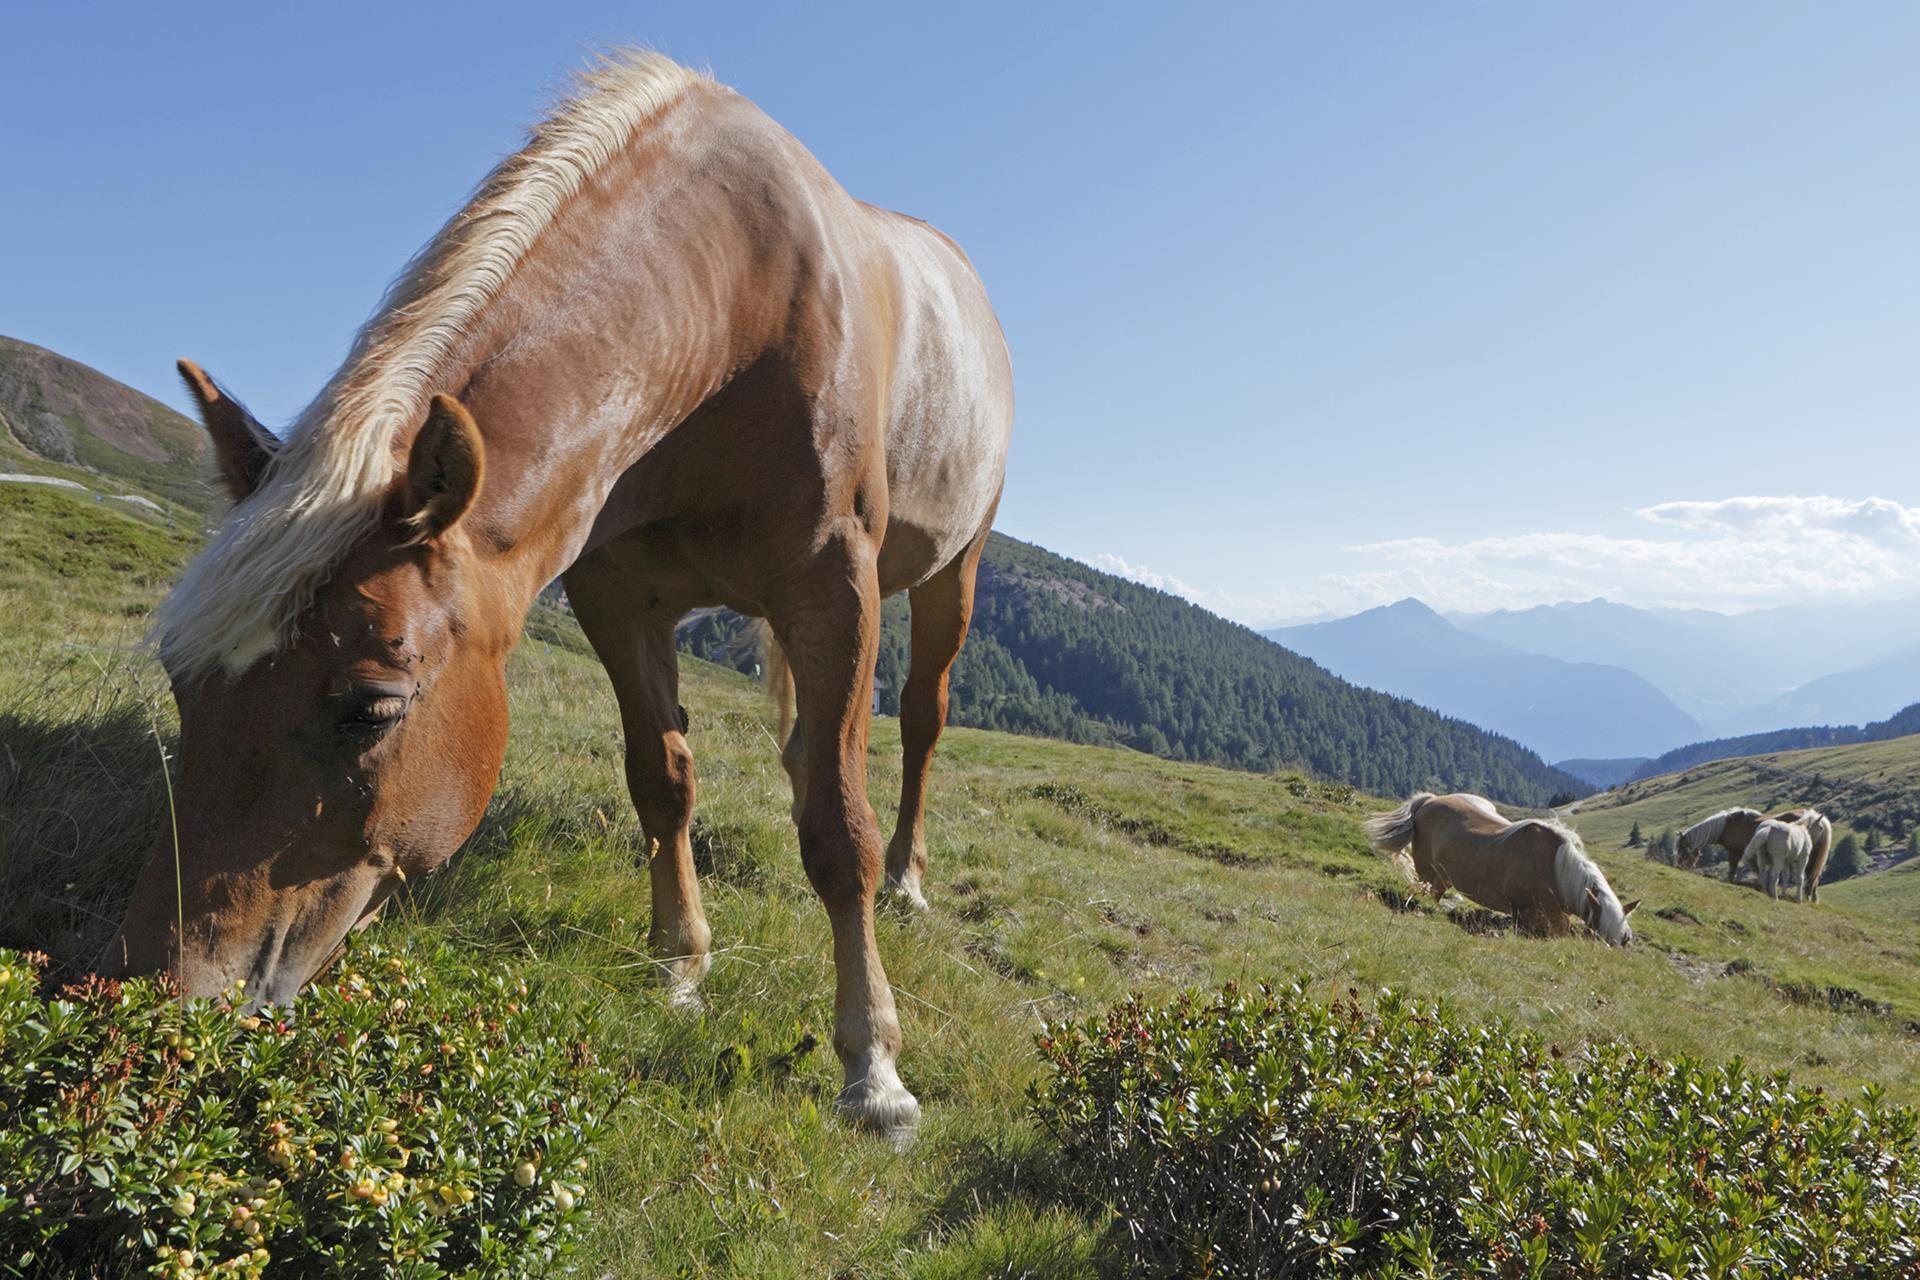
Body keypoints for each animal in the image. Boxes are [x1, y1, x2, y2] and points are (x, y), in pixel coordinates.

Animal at [103, 50, 1013, 1136]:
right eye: (181, 680)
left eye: (371, 707)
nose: (155, 996)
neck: (730, 312)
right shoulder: (616, 598)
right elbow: (664, 779)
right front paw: (679, 964)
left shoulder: (834, 585)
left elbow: (841, 831)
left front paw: (873, 1067)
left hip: (954, 571)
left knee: (920, 722)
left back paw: (911, 879)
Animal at [1367, 790, 1635, 940]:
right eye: (1598, 929)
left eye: (1622, 938)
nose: (1622, 940)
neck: (1555, 869)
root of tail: (1429, 801)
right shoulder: (1524, 913)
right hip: (1427, 874)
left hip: (1441, 879)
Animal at [1681, 809, 1827, 901]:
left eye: (1683, 852)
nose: (1680, 867)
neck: (1728, 825)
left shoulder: (1735, 853)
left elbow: (1733, 871)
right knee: (1811, 878)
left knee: (1812, 878)